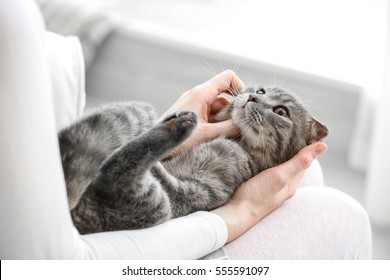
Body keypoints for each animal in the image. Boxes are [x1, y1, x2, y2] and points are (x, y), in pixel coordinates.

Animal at [59, 86, 328, 234]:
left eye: (281, 112)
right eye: (261, 91)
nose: (252, 97)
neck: (239, 142)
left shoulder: (198, 194)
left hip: (153, 205)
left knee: (118, 174)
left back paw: (176, 126)